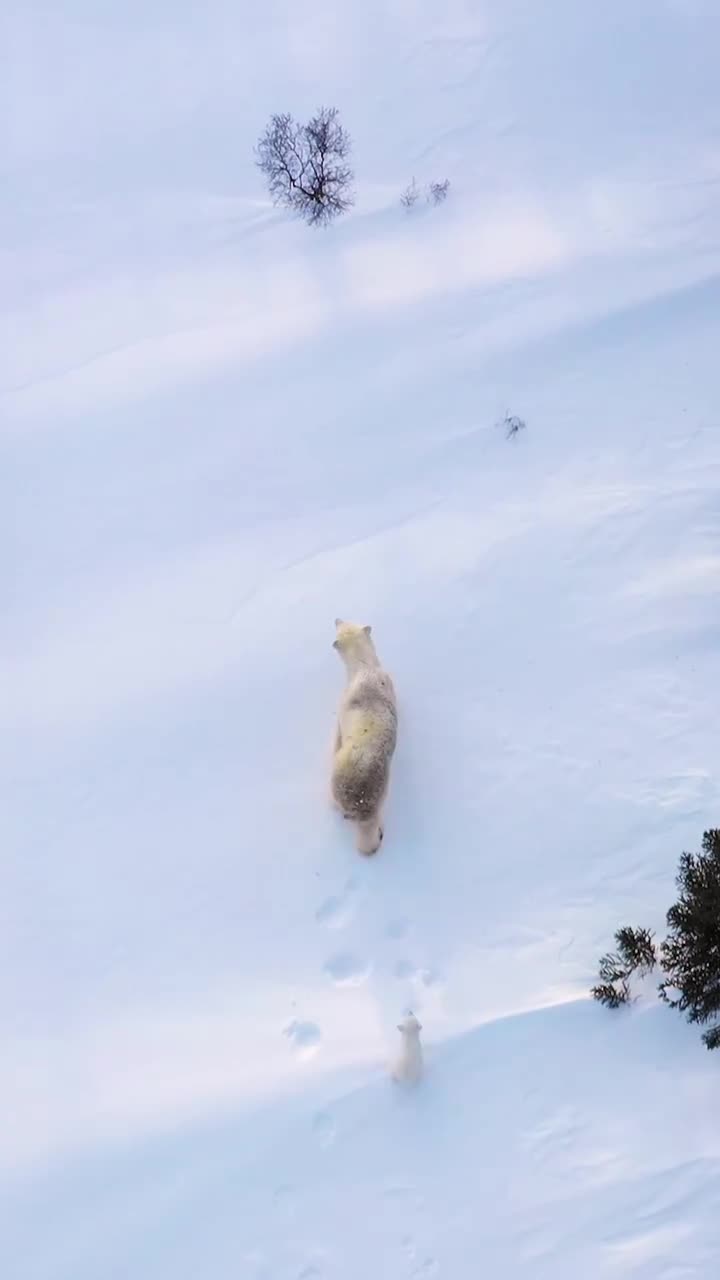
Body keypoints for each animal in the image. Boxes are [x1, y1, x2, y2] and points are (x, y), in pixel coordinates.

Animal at [331, 618, 397, 855]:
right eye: (344, 622)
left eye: (339, 626)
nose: (336, 618)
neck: (364, 666)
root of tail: (362, 804)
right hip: (384, 790)